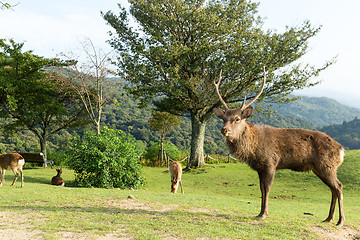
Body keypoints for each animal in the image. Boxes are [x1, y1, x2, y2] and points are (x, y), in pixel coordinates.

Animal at [212, 67, 344, 227]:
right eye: (223, 119)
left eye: (237, 119)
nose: (224, 130)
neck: (254, 148)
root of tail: (342, 150)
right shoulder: (260, 167)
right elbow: (261, 189)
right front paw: (259, 213)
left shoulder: (271, 162)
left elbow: (267, 188)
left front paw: (264, 214)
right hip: (320, 168)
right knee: (333, 189)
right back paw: (328, 218)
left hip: (327, 165)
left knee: (338, 186)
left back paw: (340, 221)